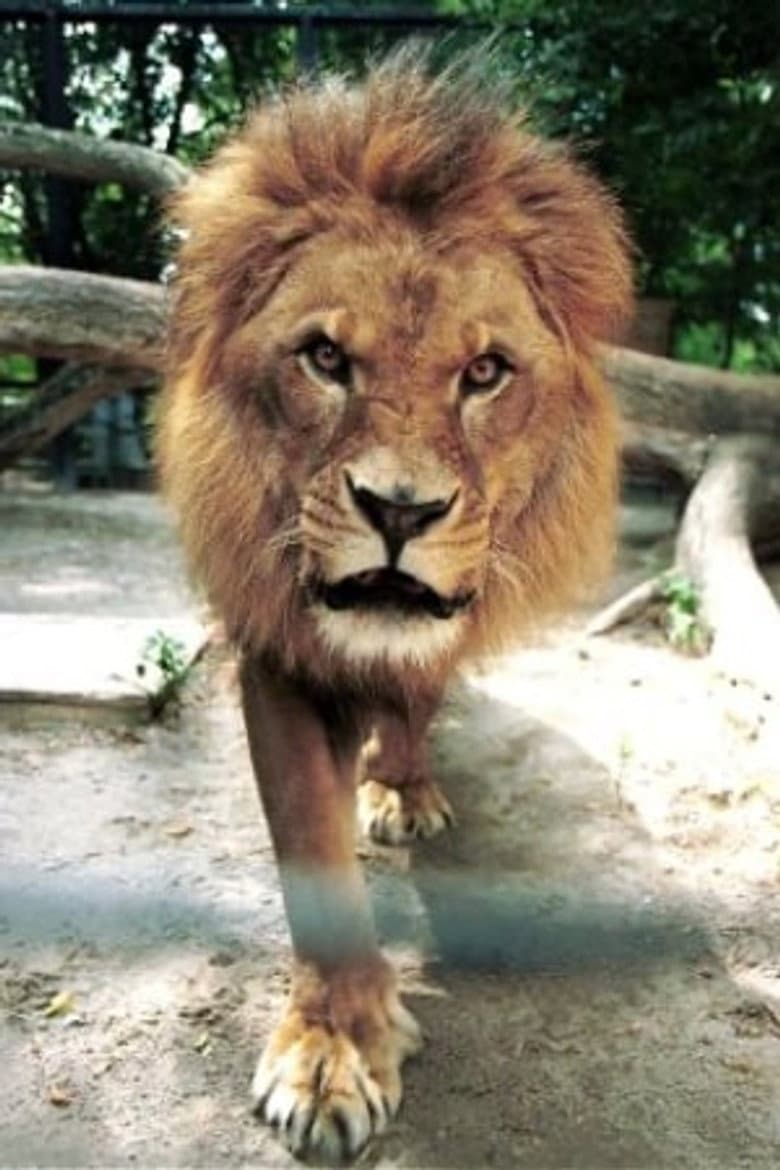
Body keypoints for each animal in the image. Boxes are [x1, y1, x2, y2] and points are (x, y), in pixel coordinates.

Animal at [157, 47, 632, 1161]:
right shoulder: (277, 649)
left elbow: (415, 695)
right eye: (326, 358)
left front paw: (399, 787)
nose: (400, 511)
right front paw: (332, 1055)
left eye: (486, 371)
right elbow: (312, 849)